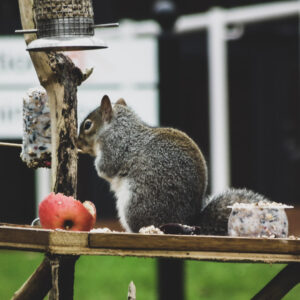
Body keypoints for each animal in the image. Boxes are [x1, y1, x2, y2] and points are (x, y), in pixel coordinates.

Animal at [77, 95, 207, 233]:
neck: (117, 126)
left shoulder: (114, 146)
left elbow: (104, 168)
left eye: (87, 125)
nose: (77, 142)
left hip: (136, 204)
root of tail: (189, 221)